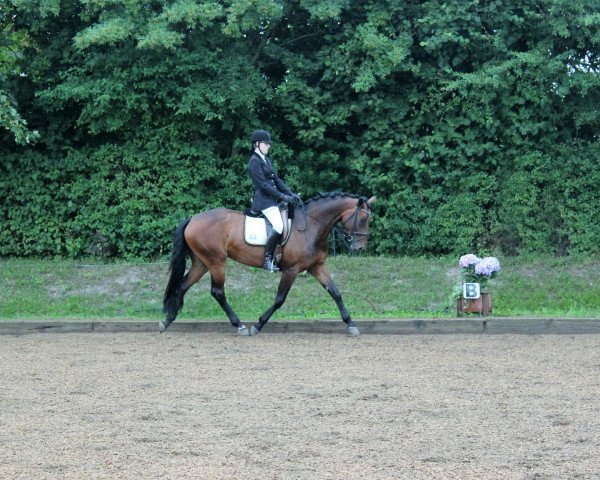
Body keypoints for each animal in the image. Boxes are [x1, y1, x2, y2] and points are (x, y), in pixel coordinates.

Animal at [159, 193, 376, 336]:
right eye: (363, 219)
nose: (359, 248)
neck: (310, 227)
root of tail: (192, 219)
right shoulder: (291, 270)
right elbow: (280, 299)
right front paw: (258, 324)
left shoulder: (317, 266)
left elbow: (336, 292)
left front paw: (350, 324)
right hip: (216, 261)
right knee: (217, 292)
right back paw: (240, 326)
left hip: (202, 263)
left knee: (183, 286)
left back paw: (167, 320)